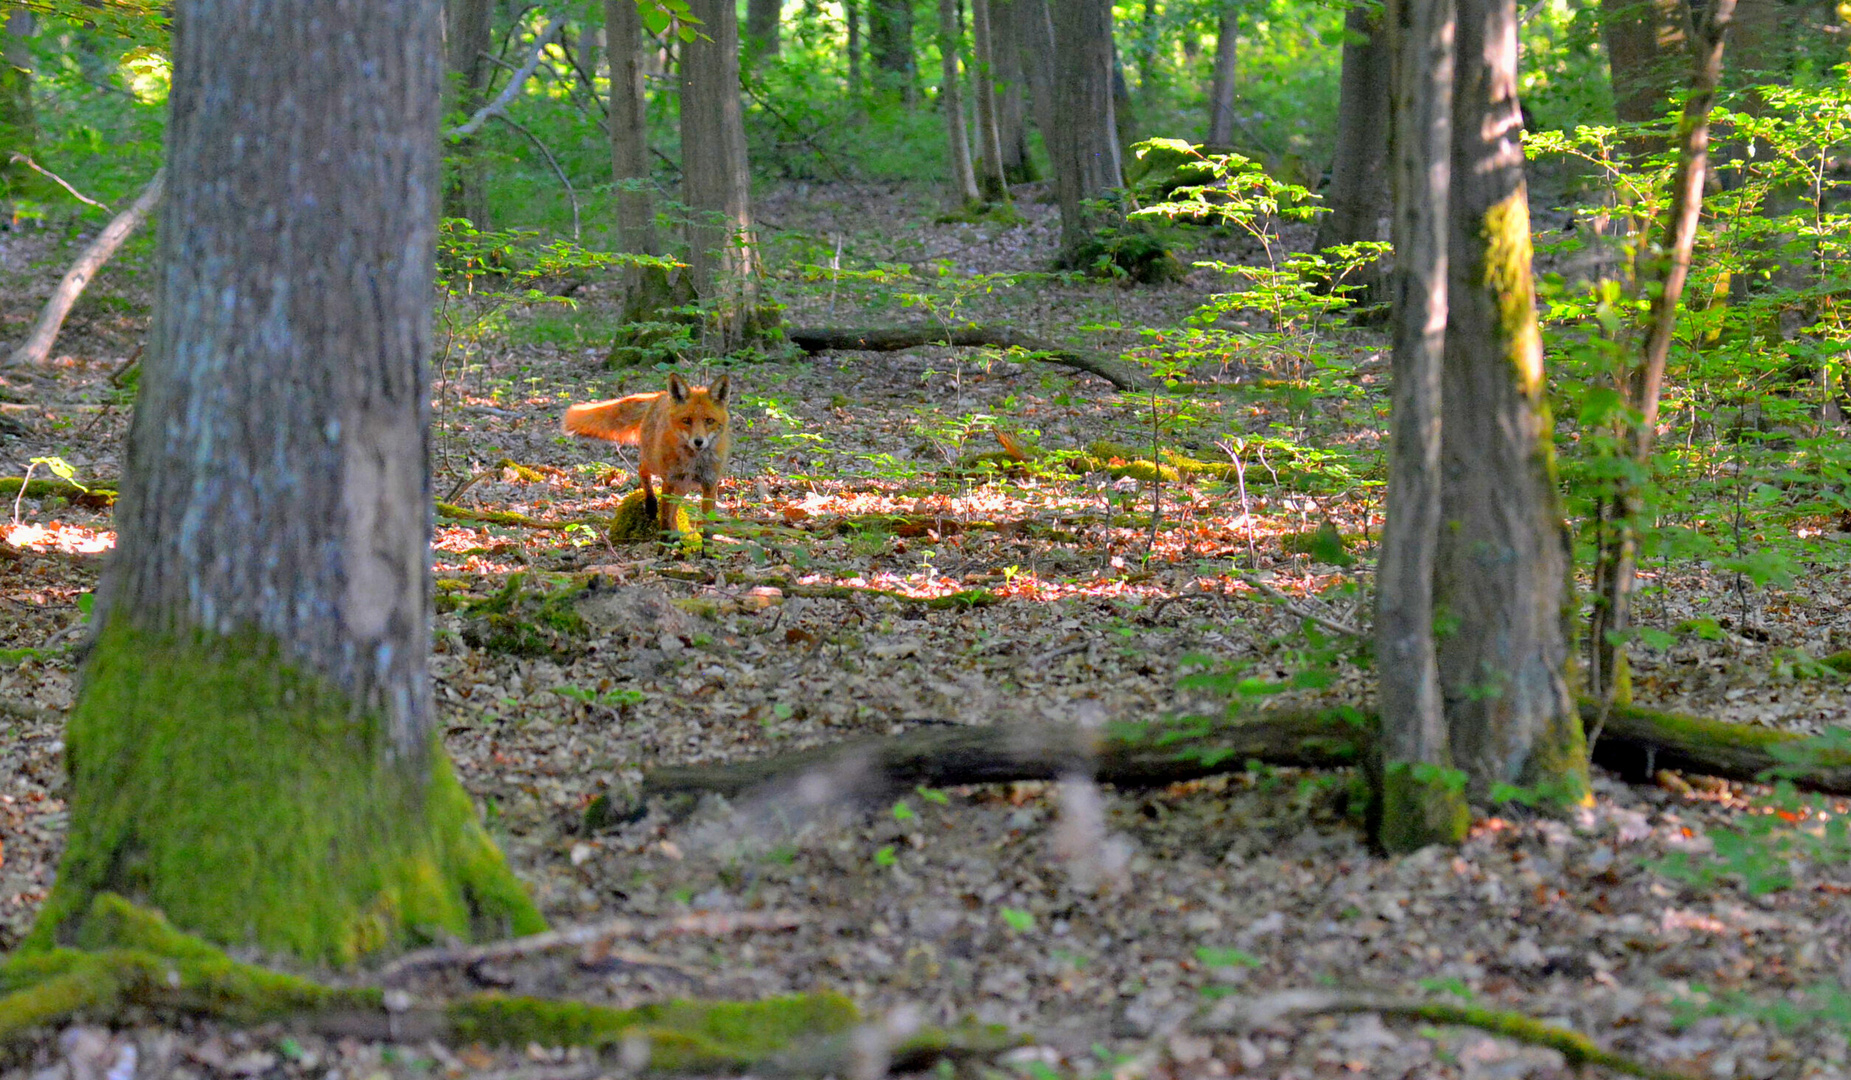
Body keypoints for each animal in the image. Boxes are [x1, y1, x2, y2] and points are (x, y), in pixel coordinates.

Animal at [559, 374, 732, 537]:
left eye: (709, 420)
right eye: (686, 420)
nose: (698, 442)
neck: (694, 461)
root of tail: (660, 395)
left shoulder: (710, 484)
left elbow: (707, 526)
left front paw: (705, 547)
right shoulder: (669, 480)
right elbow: (665, 519)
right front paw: (665, 542)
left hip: (683, 485)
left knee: (674, 509)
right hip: (655, 463)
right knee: (641, 469)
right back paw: (651, 504)